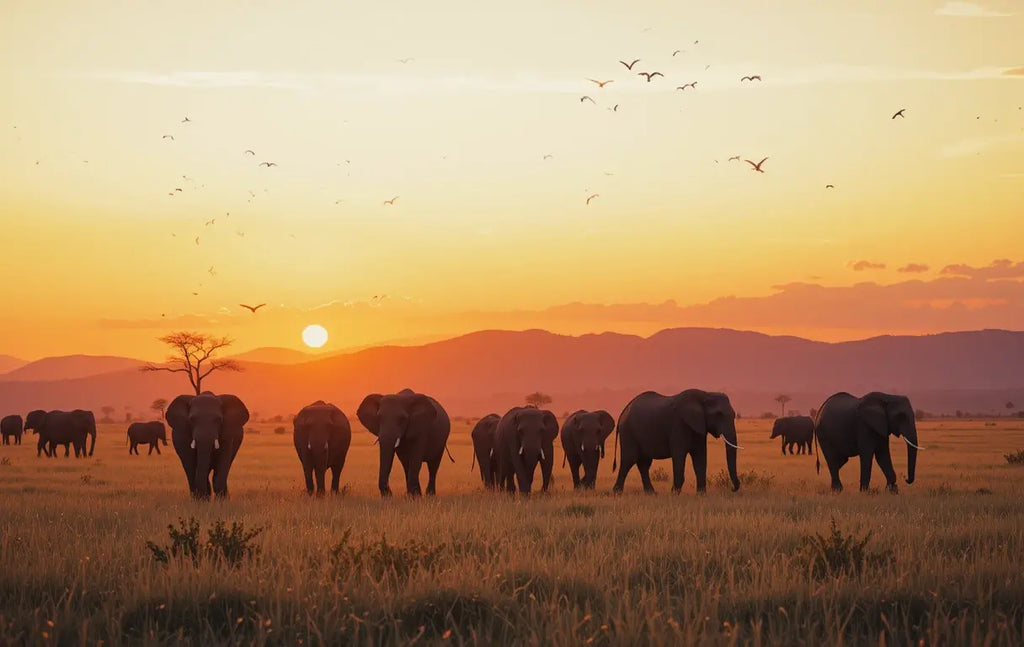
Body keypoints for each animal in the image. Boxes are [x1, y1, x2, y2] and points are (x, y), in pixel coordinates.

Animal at [612, 390, 741, 494]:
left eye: (734, 415)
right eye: (718, 414)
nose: (732, 488)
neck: (705, 394)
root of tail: (623, 411)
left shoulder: (699, 427)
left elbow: (700, 457)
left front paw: (701, 495)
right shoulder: (679, 424)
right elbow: (679, 455)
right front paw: (675, 493)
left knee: (643, 463)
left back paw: (651, 494)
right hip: (628, 432)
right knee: (629, 460)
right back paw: (617, 493)